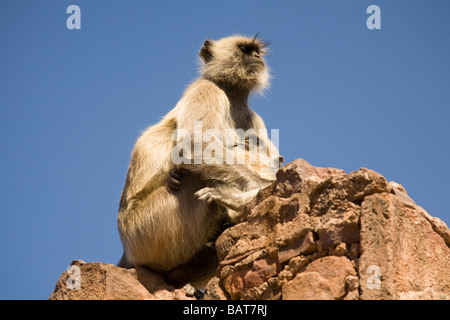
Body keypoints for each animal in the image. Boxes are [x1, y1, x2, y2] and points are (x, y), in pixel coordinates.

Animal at [118, 35, 284, 288]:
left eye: (256, 51)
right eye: (245, 50)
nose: (257, 57)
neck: (231, 97)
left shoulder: (253, 118)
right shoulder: (206, 91)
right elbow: (194, 147)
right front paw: (260, 187)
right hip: (146, 231)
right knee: (196, 176)